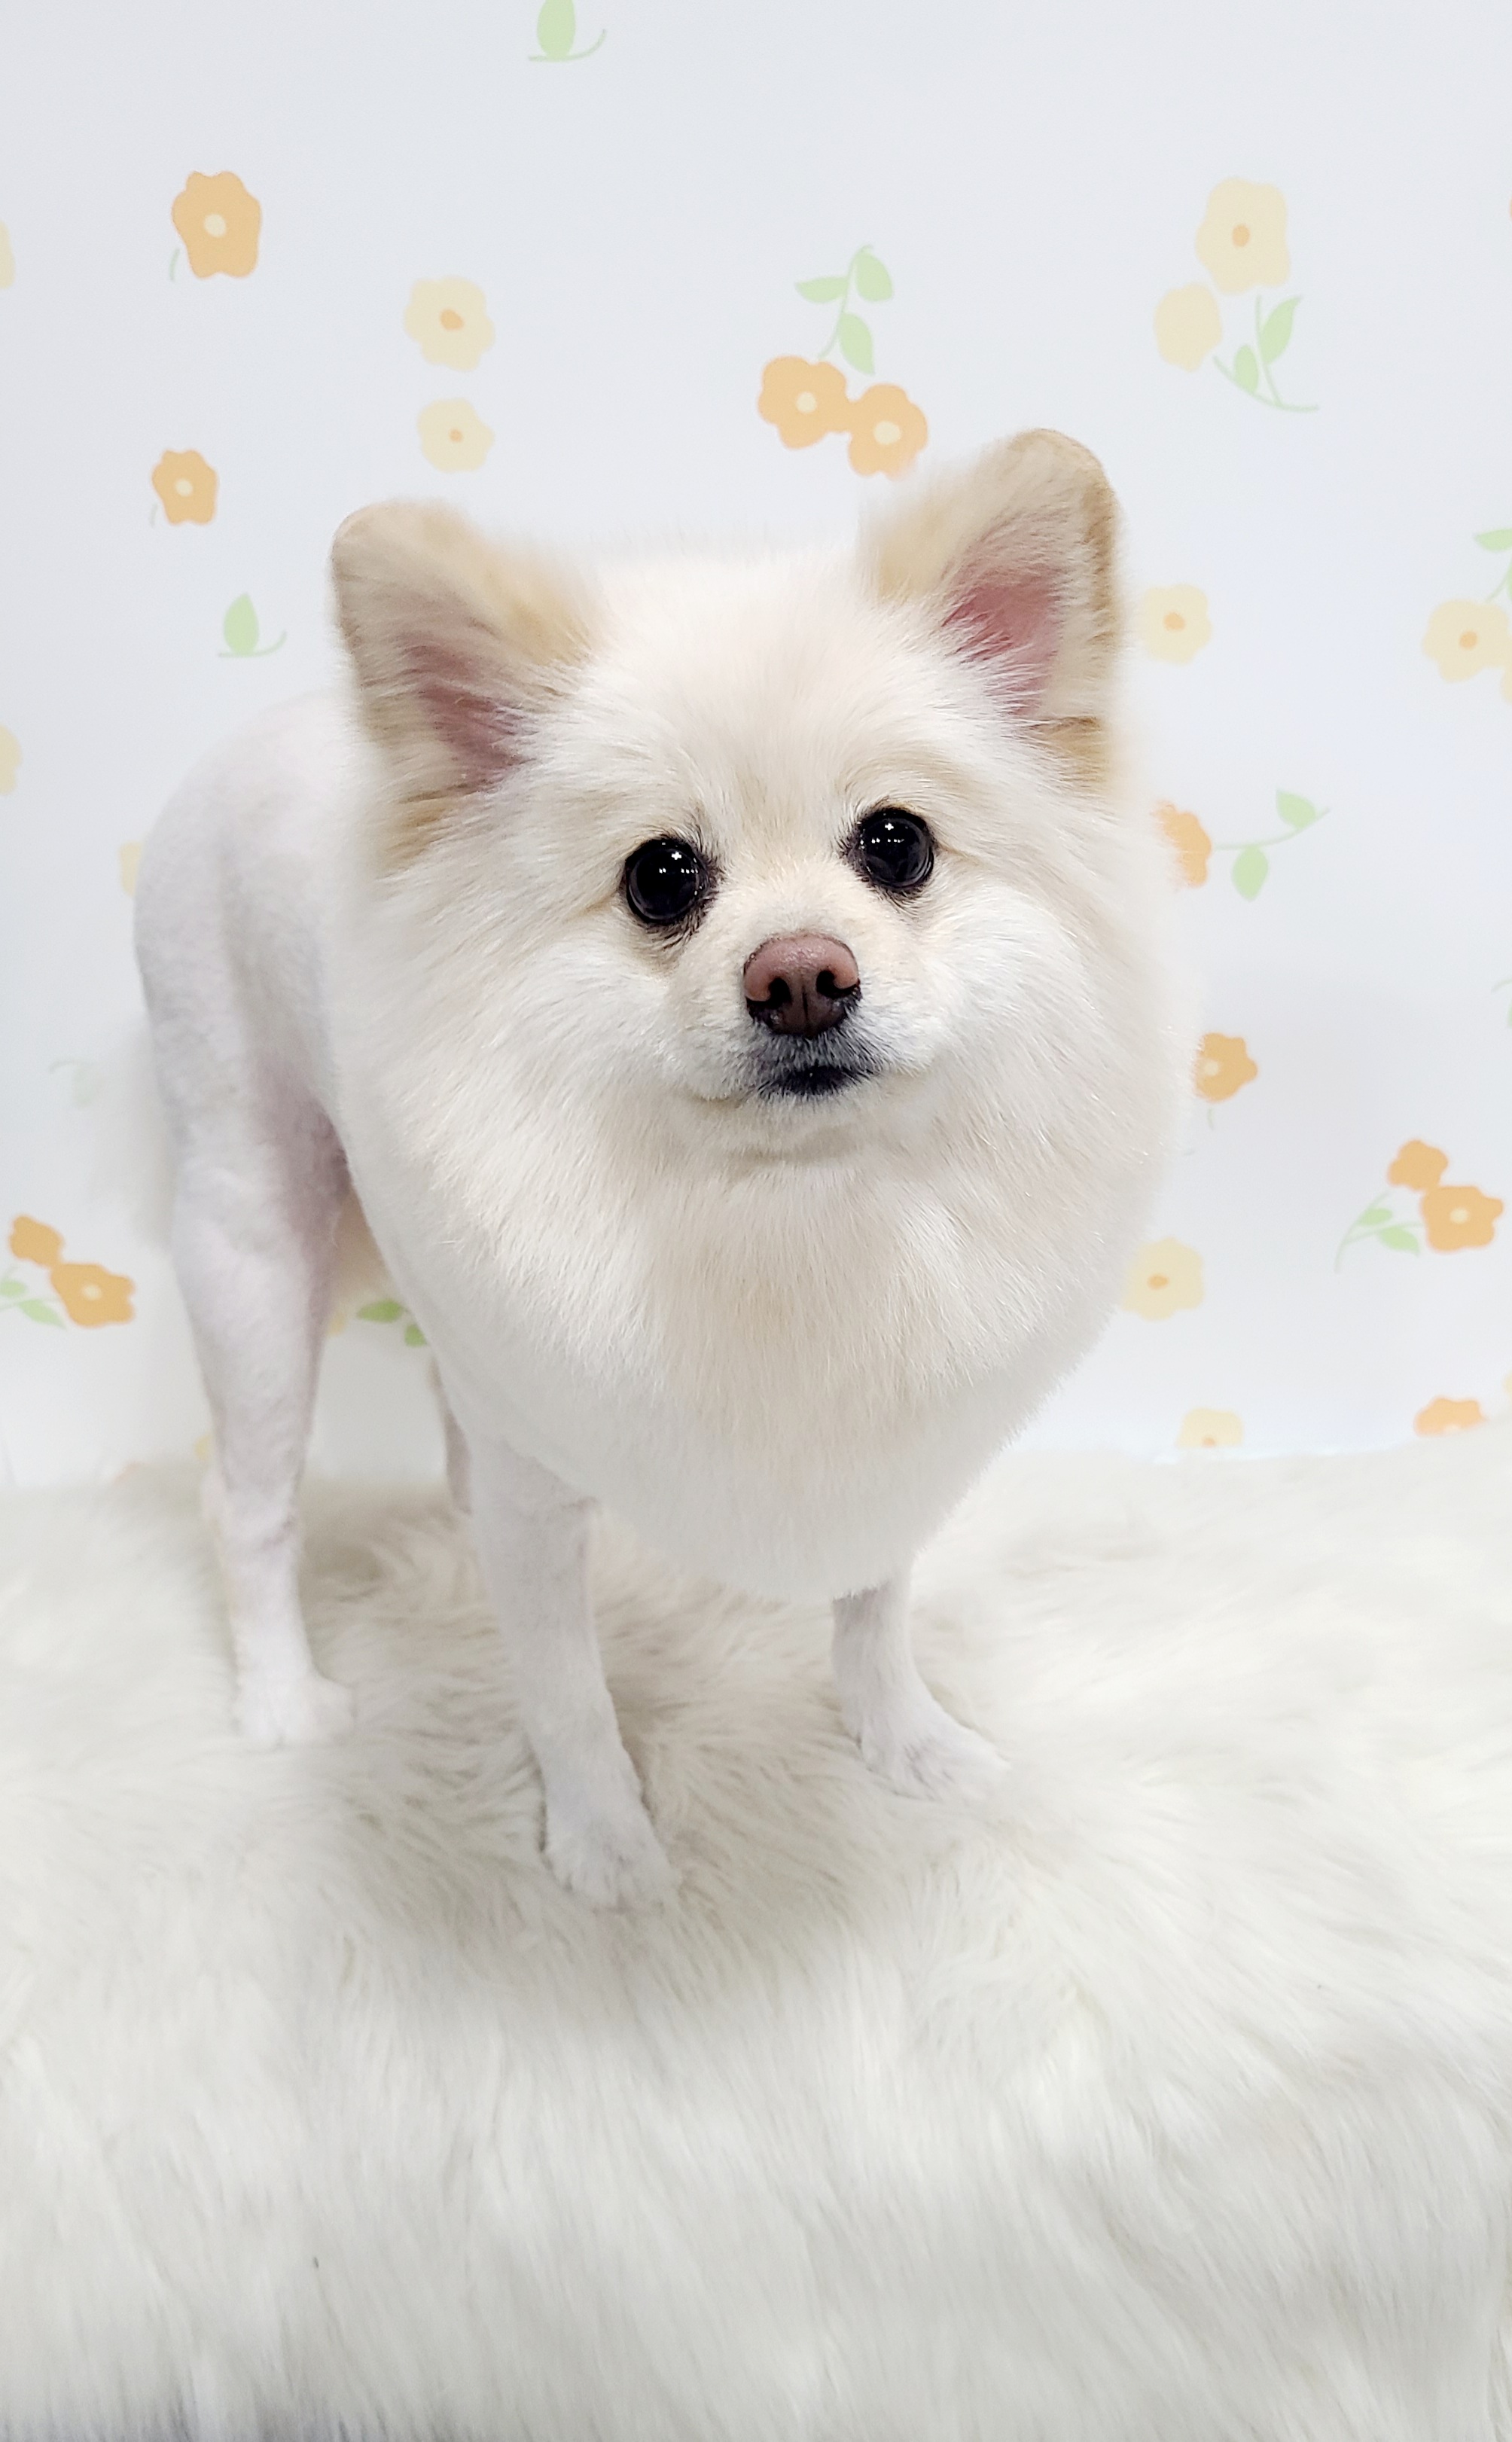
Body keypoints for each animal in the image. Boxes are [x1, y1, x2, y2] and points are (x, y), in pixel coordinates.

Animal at [134, 429, 1188, 1904]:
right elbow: (567, 1690)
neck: (781, 1210)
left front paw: (904, 1742)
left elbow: (874, 1608)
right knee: (246, 1504)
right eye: (662, 876)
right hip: (251, 1238)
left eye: (897, 844)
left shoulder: (882, 1446)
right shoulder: (538, 1489)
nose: (801, 974)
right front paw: (605, 1845)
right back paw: (282, 1698)